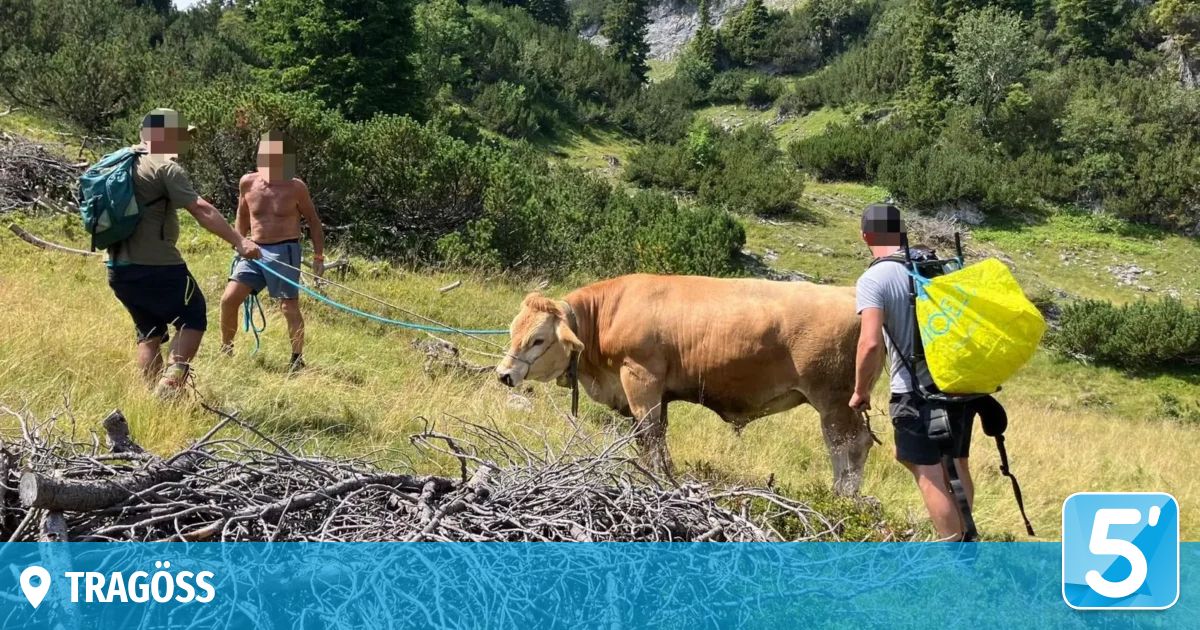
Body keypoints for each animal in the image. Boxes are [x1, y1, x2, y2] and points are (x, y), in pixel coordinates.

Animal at [495, 274, 878, 496]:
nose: (504, 374)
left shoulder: (641, 380)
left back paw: (842, 498)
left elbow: (649, 437)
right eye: (513, 329)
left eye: (538, 339)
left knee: (848, 447)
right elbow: (655, 439)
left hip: (835, 402)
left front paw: (652, 480)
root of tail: (850, 295)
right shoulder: (659, 394)